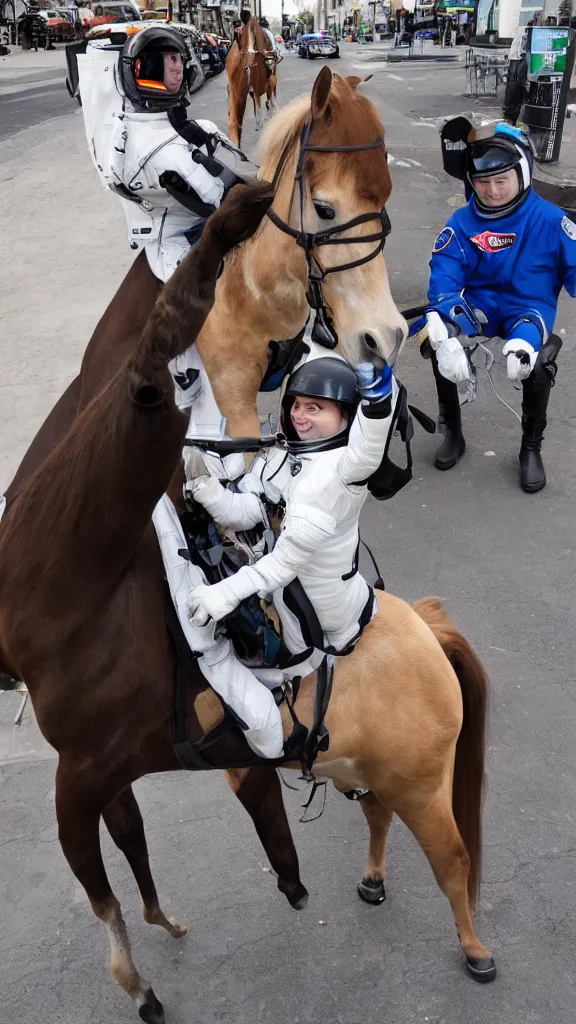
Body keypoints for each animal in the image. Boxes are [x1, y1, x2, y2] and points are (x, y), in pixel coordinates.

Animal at [0, 186, 494, 1024]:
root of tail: (428, 628)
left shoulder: (82, 771)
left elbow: (101, 887)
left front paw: (139, 985)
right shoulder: (100, 769)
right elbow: (130, 849)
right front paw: (162, 926)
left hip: (423, 784)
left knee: (453, 857)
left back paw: (475, 947)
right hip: (369, 767)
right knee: (378, 814)